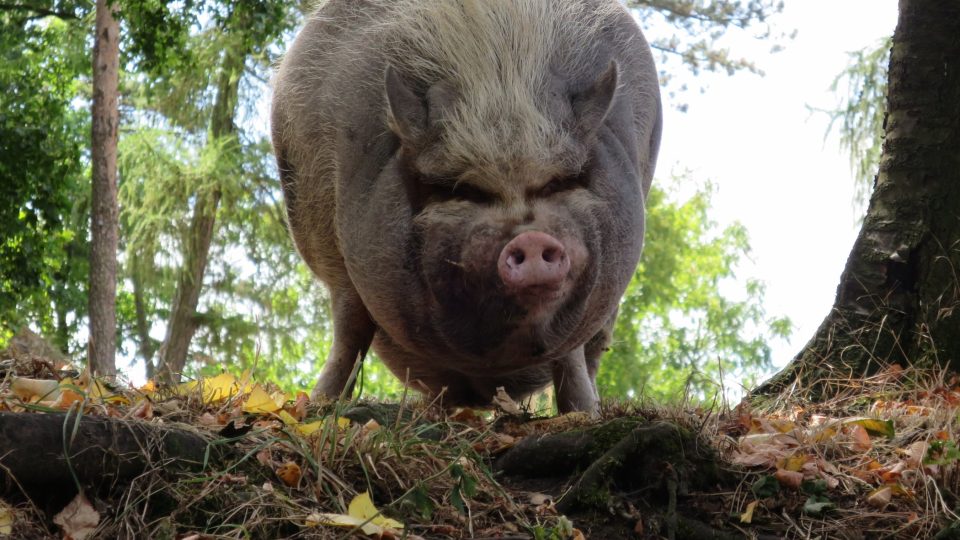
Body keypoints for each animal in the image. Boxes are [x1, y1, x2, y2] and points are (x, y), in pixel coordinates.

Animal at [270, 0, 660, 414]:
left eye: (558, 183)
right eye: (461, 190)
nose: (531, 239)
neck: (499, 74)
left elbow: (570, 354)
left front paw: (584, 415)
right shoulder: (337, 259)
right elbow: (351, 328)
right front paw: (319, 408)